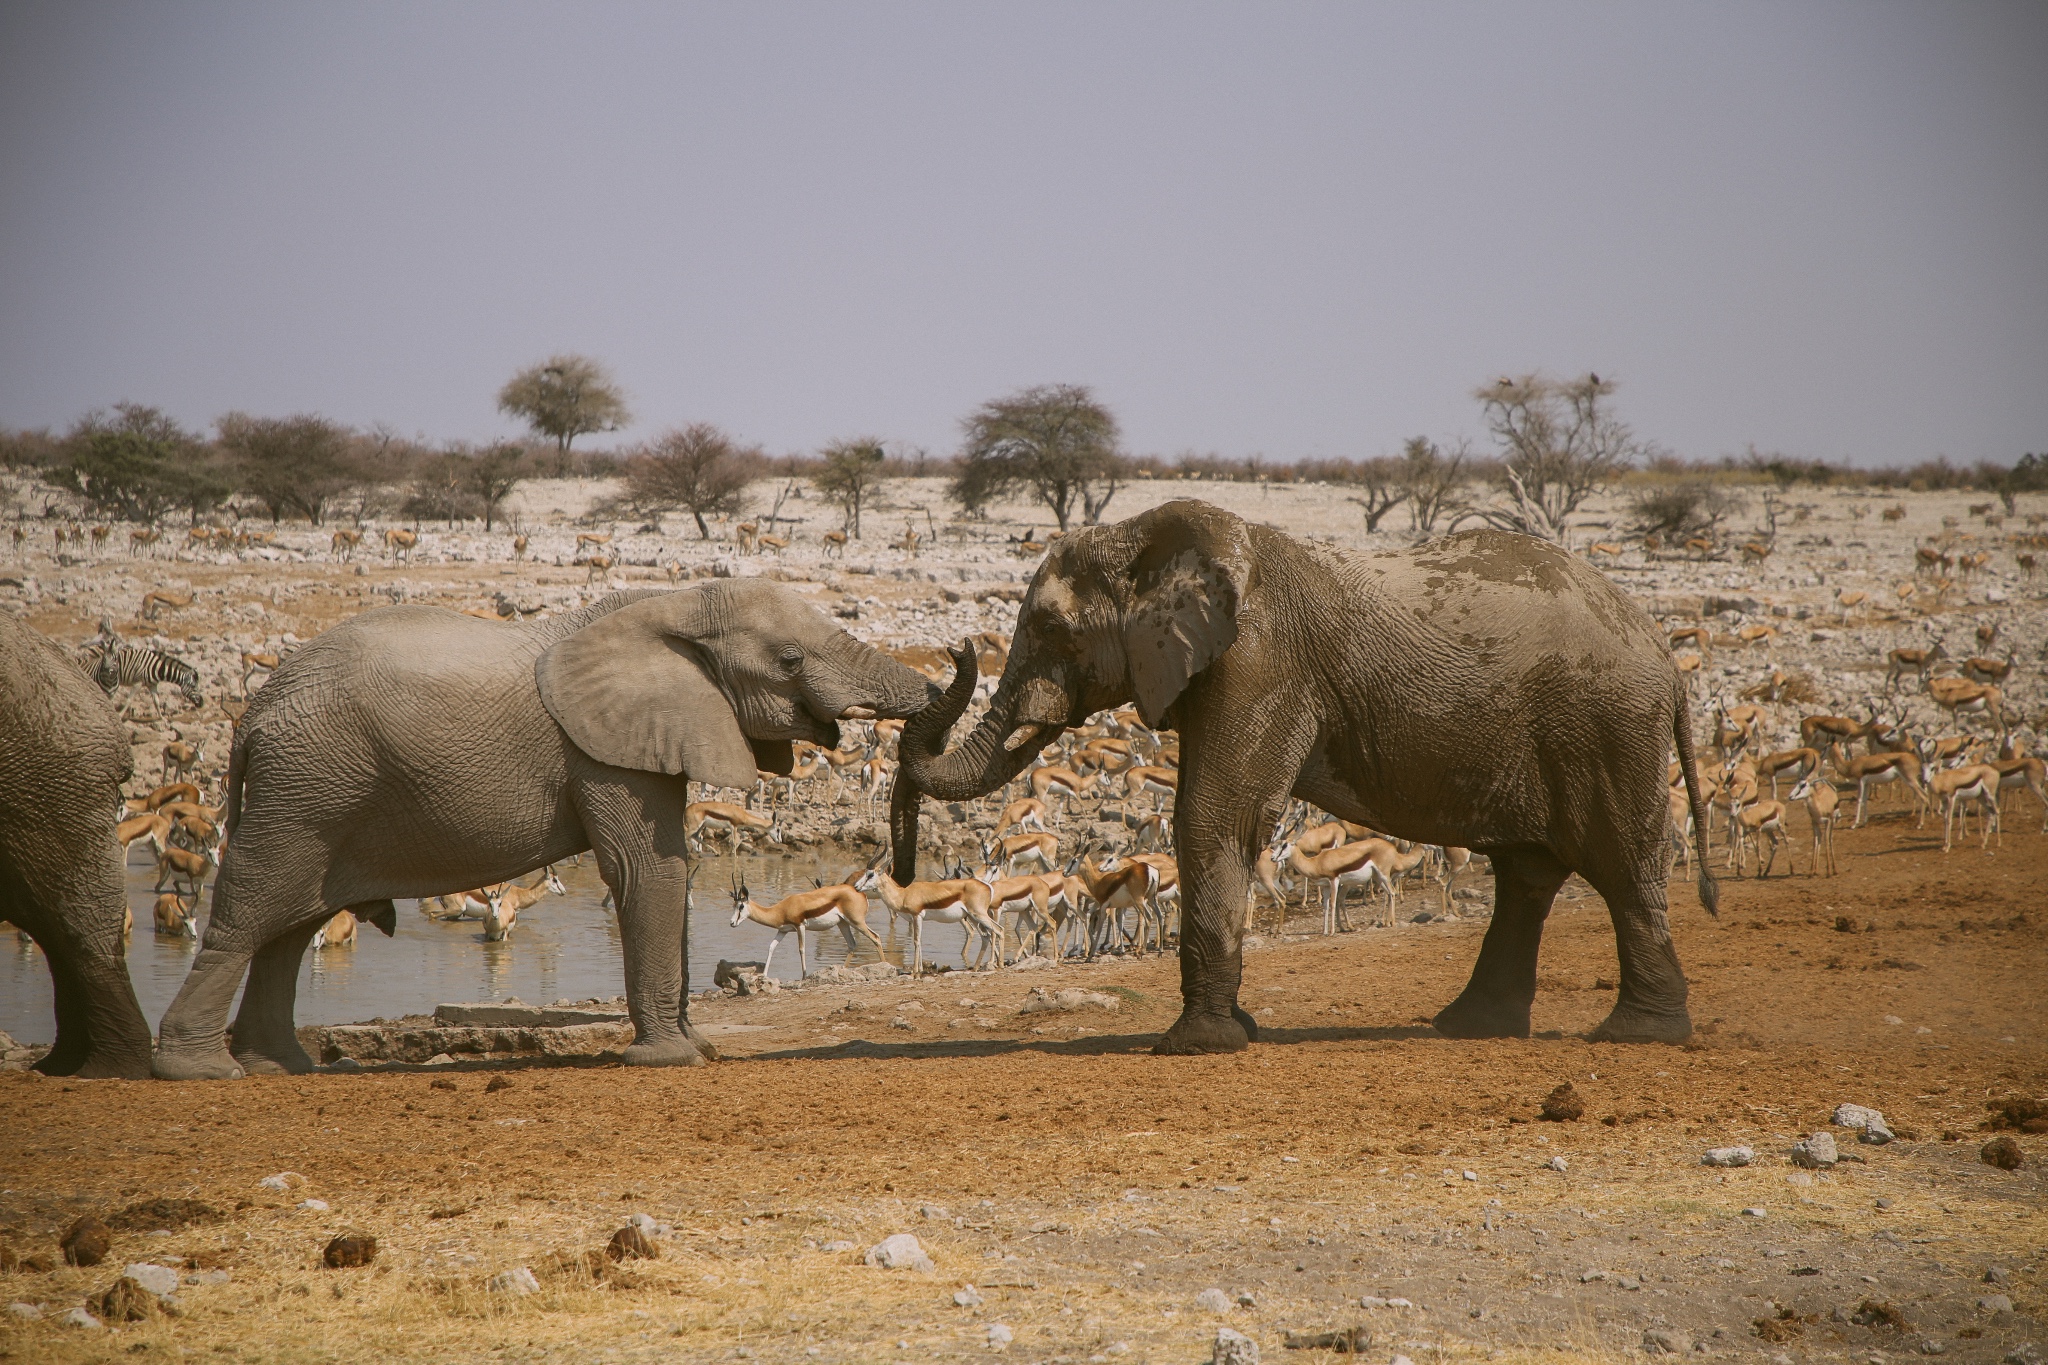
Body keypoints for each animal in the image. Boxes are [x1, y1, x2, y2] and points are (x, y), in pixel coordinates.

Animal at [75, 642, 203, 720]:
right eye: (193, 686)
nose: (201, 703)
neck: (157, 668)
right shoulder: (138, 682)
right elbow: (129, 700)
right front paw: (120, 715)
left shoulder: (152, 685)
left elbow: (156, 701)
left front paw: (162, 718)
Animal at [151, 581, 937, 1080]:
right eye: (789, 660)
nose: (940, 683)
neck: (672, 599)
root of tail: (252, 714)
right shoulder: (602, 747)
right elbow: (651, 870)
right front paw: (672, 1059)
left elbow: (670, 869)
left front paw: (698, 1047)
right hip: (307, 783)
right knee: (254, 908)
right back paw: (200, 1071)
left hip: (312, 787)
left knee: (290, 923)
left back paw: (278, 1065)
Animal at [897, 501, 1712, 1055]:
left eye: (1051, 629)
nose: (956, 649)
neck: (1152, 539)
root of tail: (1665, 657)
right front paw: (1235, 1030)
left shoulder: (1259, 662)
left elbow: (1213, 816)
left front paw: (1196, 1045)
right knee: (1527, 874)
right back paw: (1472, 1027)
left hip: (1606, 728)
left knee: (1618, 863)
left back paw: (1636, 1035)